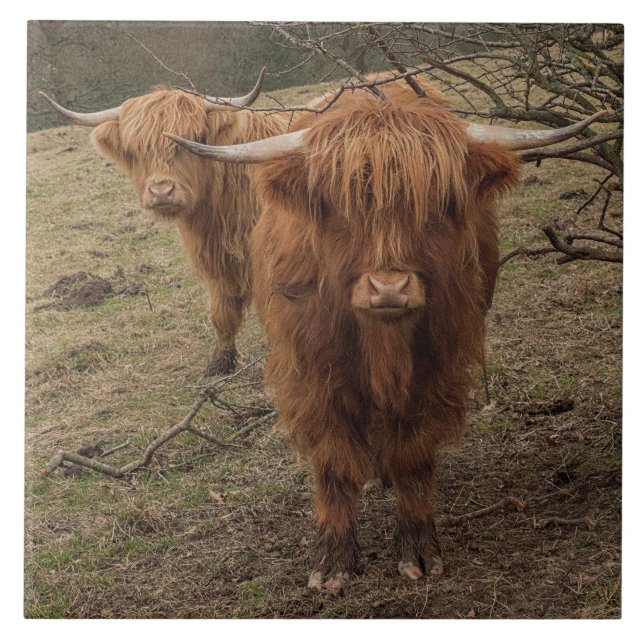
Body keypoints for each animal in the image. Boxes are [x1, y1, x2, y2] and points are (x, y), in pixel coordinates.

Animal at [39, 70, 292, 375]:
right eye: (135, 148)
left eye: (192, 139)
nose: (161, 191)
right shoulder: (217, 262)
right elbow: (221, 314)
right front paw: (219, 363)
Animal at [166, 81, 605, 589]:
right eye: (338, 206)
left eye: (437, 204)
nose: (390, 288)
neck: (380, 343)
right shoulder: (313, 375)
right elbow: (335, 462)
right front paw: (333, 561)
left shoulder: (436, 369)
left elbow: (413, 456)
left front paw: (418, 549)